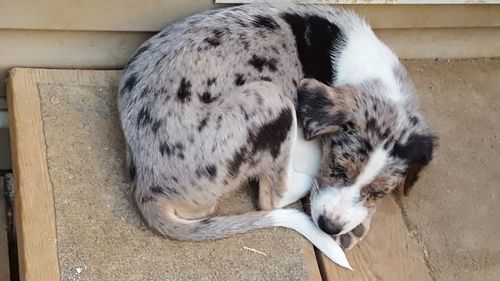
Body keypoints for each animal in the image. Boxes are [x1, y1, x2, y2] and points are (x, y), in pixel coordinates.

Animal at [116, 2, 434, 270]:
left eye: (379, 192)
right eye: (336, 167)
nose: (328, 227)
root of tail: (147, 189)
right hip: (270, 97)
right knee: (272, 199)